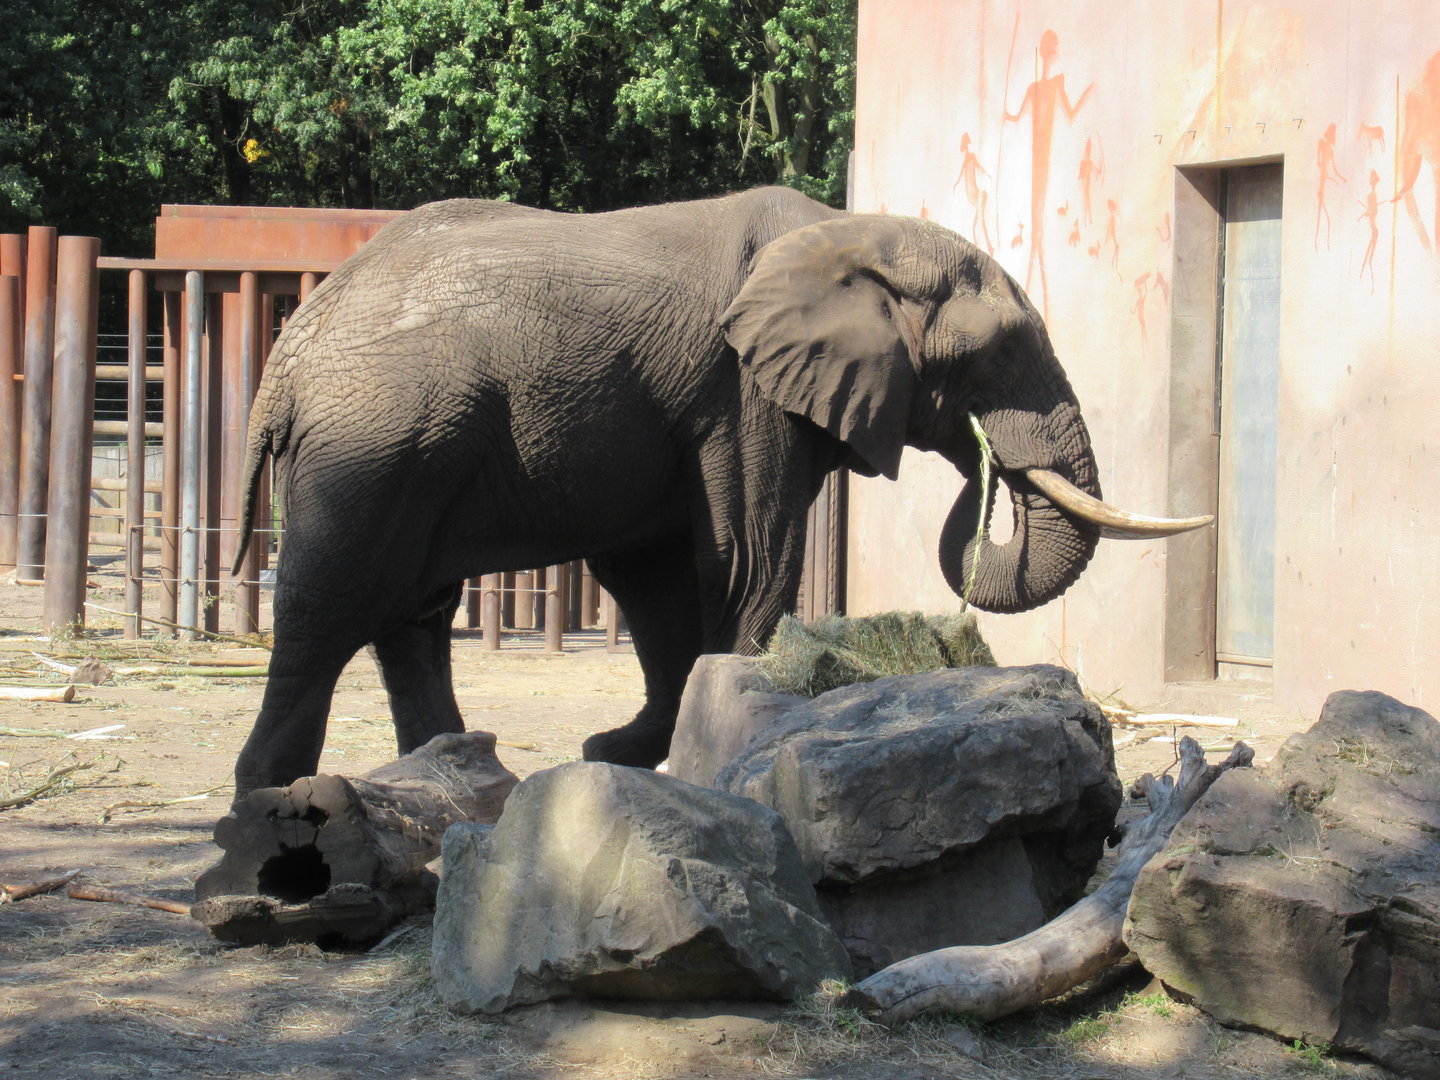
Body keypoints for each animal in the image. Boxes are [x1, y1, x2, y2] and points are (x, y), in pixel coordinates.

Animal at [230, 186, 1206, 796]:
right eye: (1000, 350)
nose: (982, 461)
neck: (850, 233)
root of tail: (287, 354)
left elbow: (655, 577)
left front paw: (632, 752)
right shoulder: (742, 392)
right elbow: (745, 555)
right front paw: (728, 737)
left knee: (411, 615)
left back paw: (458, 775)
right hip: (373, 443)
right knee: (333, 603)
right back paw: (270, 798)